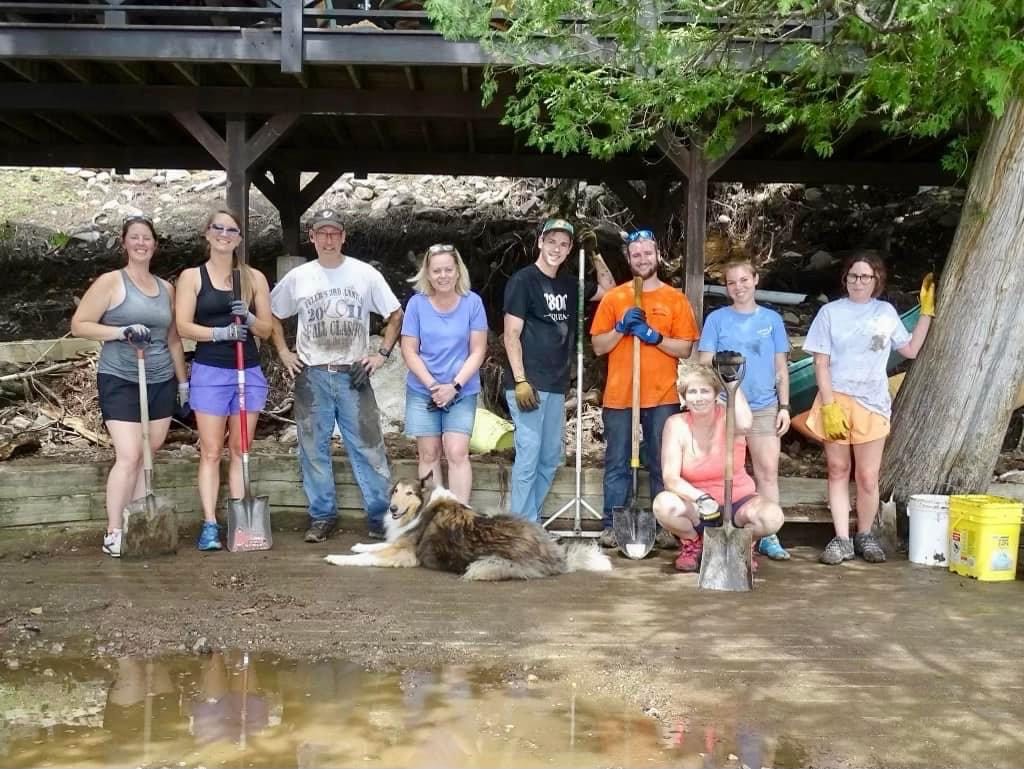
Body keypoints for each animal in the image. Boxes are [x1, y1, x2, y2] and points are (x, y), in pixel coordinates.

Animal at [323, 475, 610, 581]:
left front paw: (337, 557)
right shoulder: (400, 541)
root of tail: (557, 557)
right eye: (394, 491)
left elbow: (369, 556)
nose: (392, 509)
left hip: (494, 563)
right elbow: (377, 545)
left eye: (409, 493)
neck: (425, 506)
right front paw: (359, 544)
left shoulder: (405, 553)